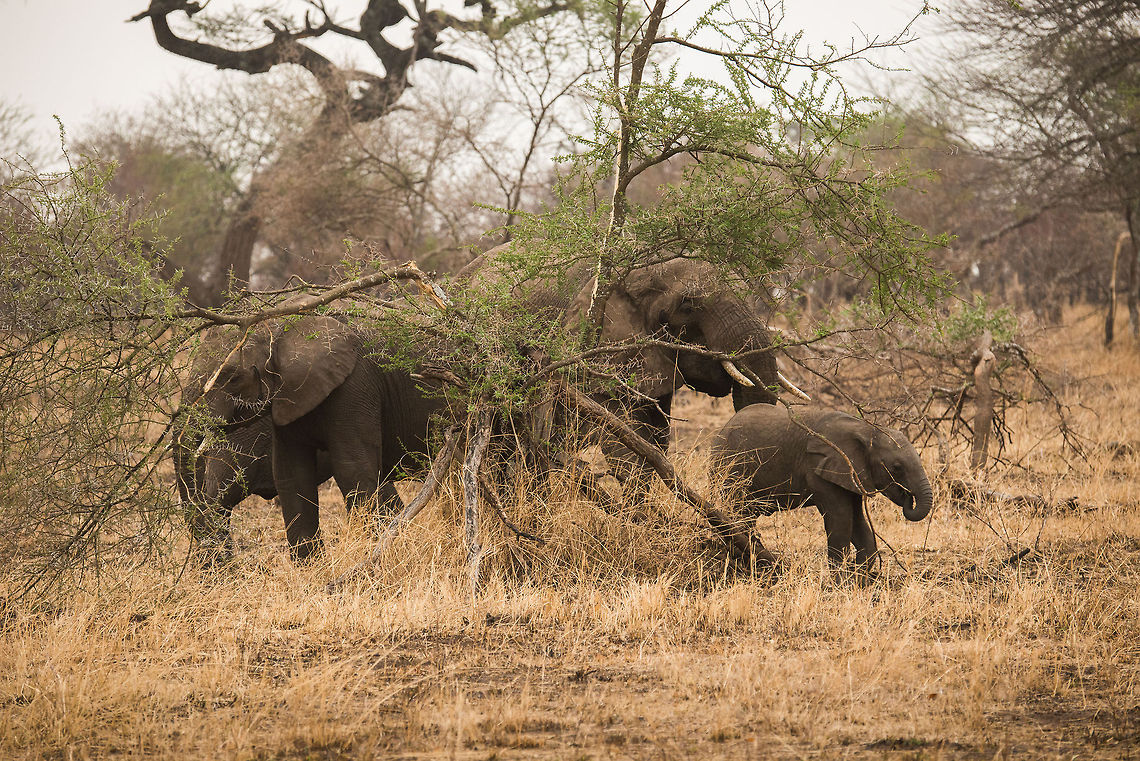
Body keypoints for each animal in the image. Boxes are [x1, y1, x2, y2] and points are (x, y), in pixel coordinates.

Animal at [187, 316, 447, 561]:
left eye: (232, 378)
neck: (281, 328)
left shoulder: (353, 386)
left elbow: (353, 470)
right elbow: (291, 476)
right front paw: (311, 569)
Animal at [712, 405, 932, 579]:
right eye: (896, 467)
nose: (907, 496)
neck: (866, 429)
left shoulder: (851, 474)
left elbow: (858, 522)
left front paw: (858, 579)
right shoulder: (818, 469)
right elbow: (841, 521)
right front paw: (841, 582)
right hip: (730, 471)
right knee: (739, 514)